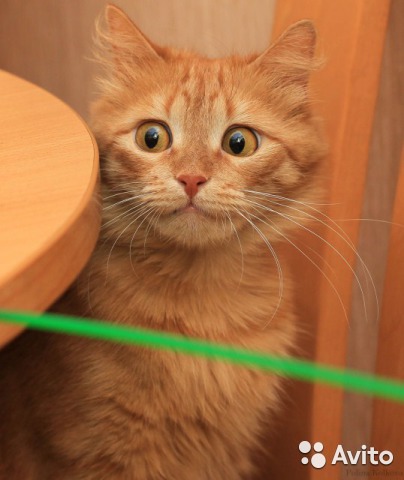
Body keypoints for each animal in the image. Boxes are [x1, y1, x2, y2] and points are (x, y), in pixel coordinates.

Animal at [0, 5, 326, 480]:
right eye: (152, 137)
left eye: (239, 142)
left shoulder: (226, 453)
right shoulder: (93, 454)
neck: (200, 315)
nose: (191, 178)